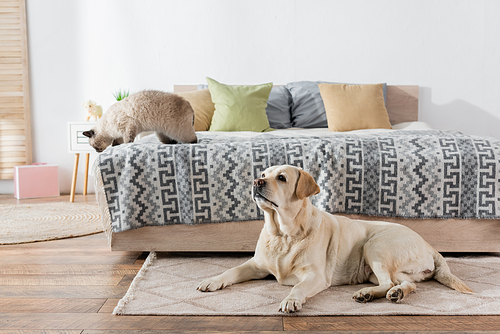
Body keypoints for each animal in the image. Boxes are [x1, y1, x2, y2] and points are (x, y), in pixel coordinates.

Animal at [196, 164, 472, 314]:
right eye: (263, 173)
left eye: (282, 177)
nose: (256, 181)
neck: (283, 234)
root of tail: (429, 245)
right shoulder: (256, 265)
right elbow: (231, 270)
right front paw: (212, 281)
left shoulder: (315, 276)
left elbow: (297, 287)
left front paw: (290, 300)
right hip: (390, 267)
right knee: (404, 283)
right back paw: (395, 294)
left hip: (375, 245)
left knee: (387, 281)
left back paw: (368, 294)